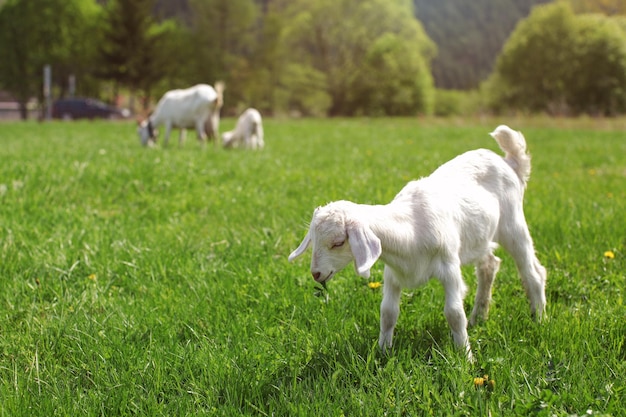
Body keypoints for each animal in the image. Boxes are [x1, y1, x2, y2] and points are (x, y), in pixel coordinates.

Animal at [288, 125, 544, 360]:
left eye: (338, 242)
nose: (316, 274)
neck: (412, 227)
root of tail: (509, 162)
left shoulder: (449, 266)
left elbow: (453, 313)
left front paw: (465, 357)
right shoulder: (393, 272)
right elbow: (388, 312)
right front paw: (383, 351)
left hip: (513, 225)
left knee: (533, 272)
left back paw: (540, 318)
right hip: (479, 238)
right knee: (489, 265)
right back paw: (478, 317)